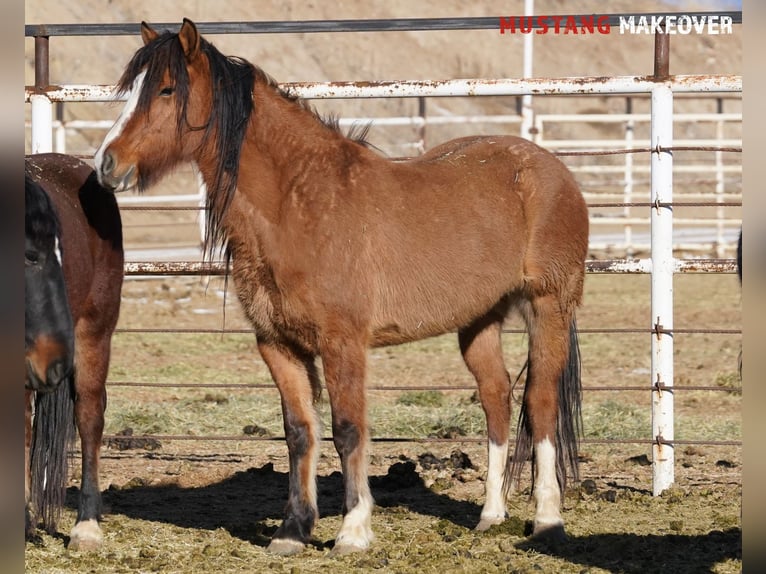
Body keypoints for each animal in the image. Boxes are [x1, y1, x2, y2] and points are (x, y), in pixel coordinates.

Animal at [93, 21, 592, 560]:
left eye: (166, 90)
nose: (106, 164)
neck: (302, 204)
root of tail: (550, 168)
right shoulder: (278, 345)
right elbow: (299, 433)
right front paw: (292, 530)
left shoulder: (343, 343)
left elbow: (348, 430)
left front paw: (353, 530)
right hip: (479, 318)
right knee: (497, 397)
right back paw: (490, 516)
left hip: (549, 306)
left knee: (540, 403)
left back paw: (547, 521)